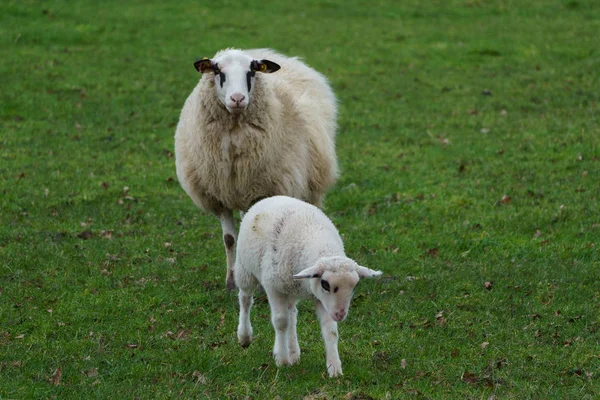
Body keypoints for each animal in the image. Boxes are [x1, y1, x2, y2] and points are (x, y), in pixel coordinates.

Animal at [173, 48, 338, 290]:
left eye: (251, 71)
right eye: (217, 70)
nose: (237, 99)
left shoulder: (263, 191)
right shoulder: (219, 195)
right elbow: (230, 240)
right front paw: (231, 281)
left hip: (311, 181)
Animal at [232, 195, 382, 376]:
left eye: (355, 286)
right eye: (325, 284)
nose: (340, 314)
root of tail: (273, 197)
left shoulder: (320, 299)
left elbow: (330, 330)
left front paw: (334, 367)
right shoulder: (273, 288)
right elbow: (280, 322)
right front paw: (282, 360)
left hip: (288, 287)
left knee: (292, 314)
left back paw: (293, 351)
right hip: (245, 269)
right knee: (245, 299)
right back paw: (245, 336)